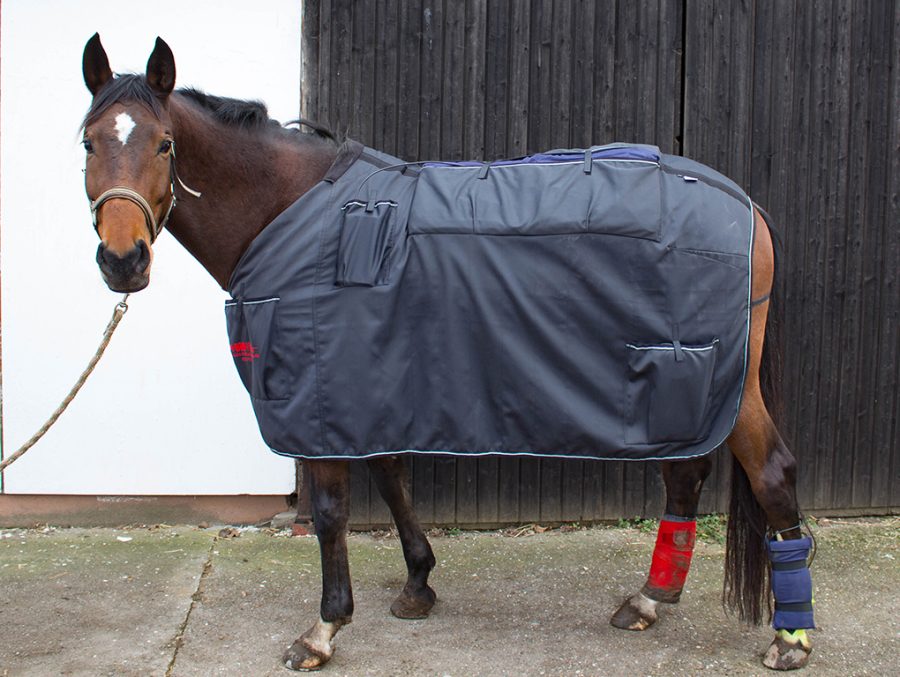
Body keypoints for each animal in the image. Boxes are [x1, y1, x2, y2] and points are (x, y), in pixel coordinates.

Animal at [80, 34, 814, 671]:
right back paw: (649, 601)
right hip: (679, 395)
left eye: (165, 144)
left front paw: (323, 629)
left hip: (709, 383)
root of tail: (743, 203)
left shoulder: (321, 394)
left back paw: (791, 640)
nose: (122, 261)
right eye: (88, 141)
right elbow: (391, 476)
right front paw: (417, 583)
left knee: (771, 473)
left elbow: (331, 512)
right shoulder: (369, 379)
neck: (293, 212)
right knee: (686, 477)